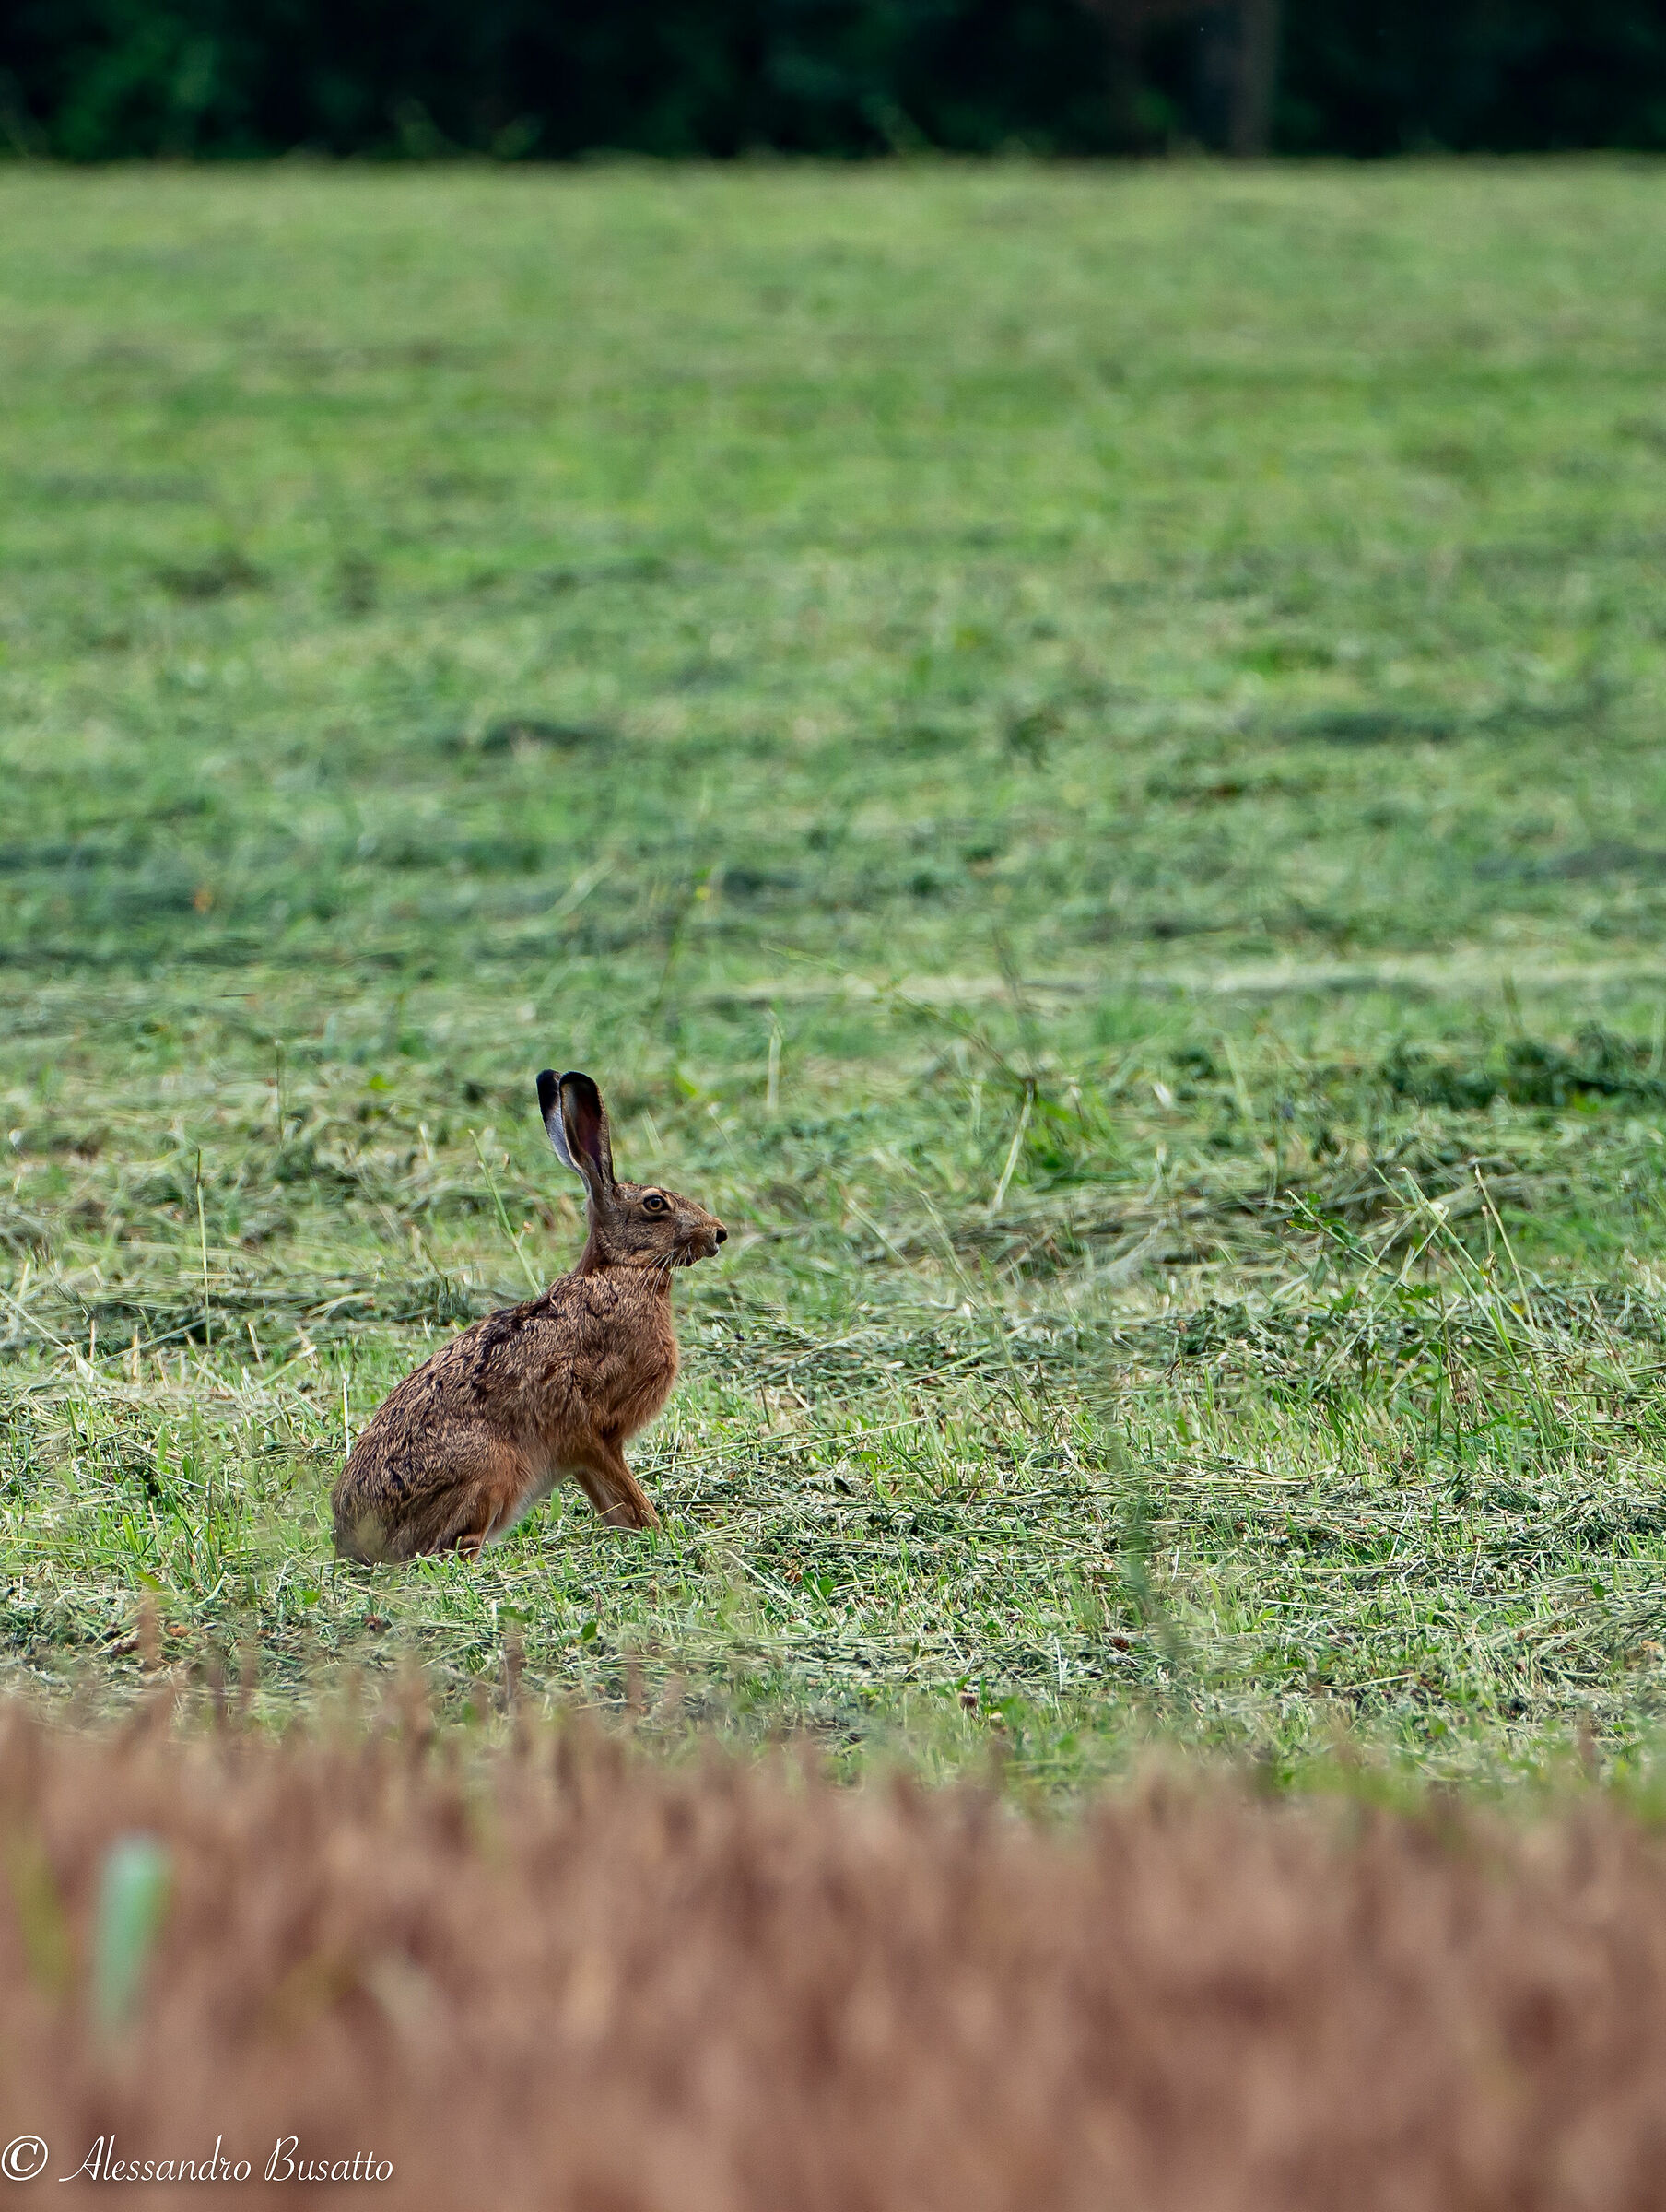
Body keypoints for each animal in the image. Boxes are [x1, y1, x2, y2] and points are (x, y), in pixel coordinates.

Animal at [332, 1069, 726, 1562]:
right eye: (656, 1203)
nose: (718, 1233)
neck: (620, 1272)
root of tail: (353, 1539)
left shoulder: (583, 1453)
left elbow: (611, 1502)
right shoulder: (594, 1431)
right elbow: (625, 1491)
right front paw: (658, 1531)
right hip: (489, 1471)